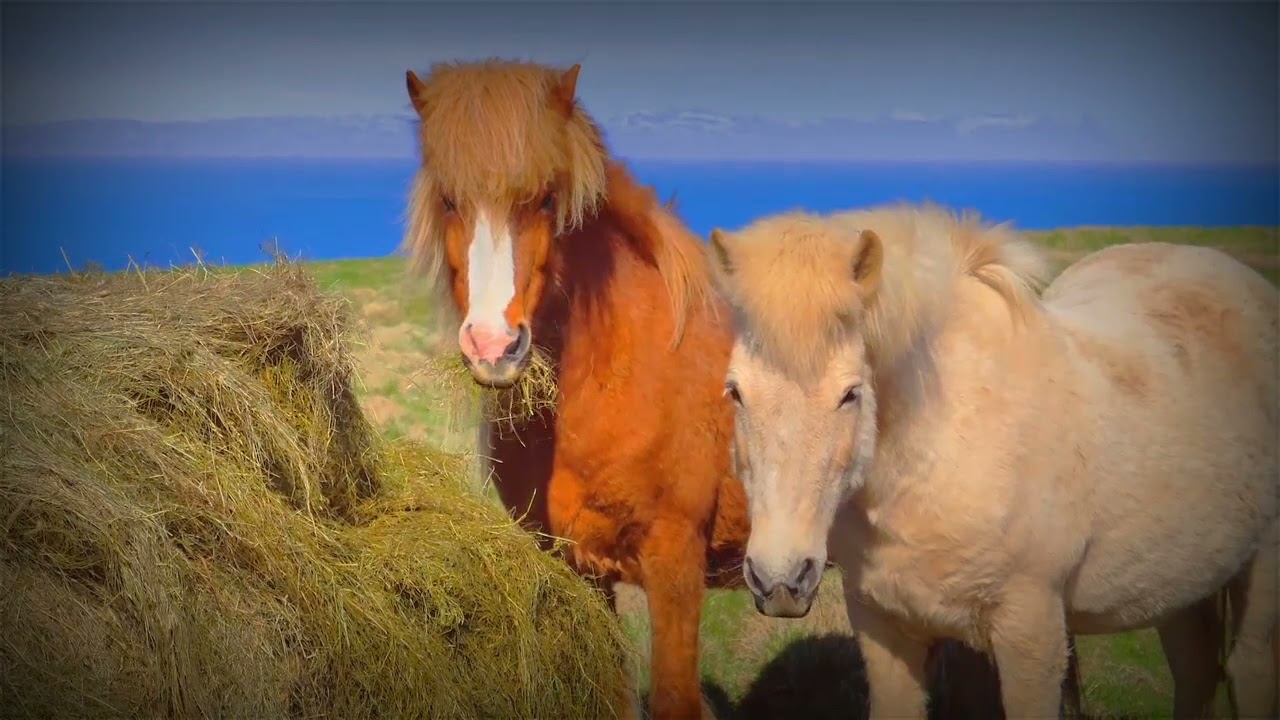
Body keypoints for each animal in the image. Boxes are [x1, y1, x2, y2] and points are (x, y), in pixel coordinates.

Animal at [705, 202, 1278, 719]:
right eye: (735, 391)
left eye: (850, 394)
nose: (779, 580)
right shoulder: (883, 629)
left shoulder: (1032, 633)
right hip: (1182, 589)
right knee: (1196, 671)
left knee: (1249, 670)